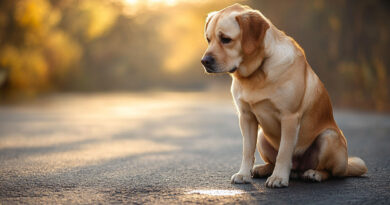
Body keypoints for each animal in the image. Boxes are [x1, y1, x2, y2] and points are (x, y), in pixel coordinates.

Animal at [200, 3, 368, 189]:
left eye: (225, 39)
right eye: (208, 39)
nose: (204, 61)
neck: (257, 72)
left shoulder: (289, 117)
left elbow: (284, 152)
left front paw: (279, 177)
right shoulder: (246, 117)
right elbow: (247, 151)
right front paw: (243, 174)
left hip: (328, 137)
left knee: (332, 173)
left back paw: (314, 174)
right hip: (262, 137)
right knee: (274, 161)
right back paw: (262, 169)